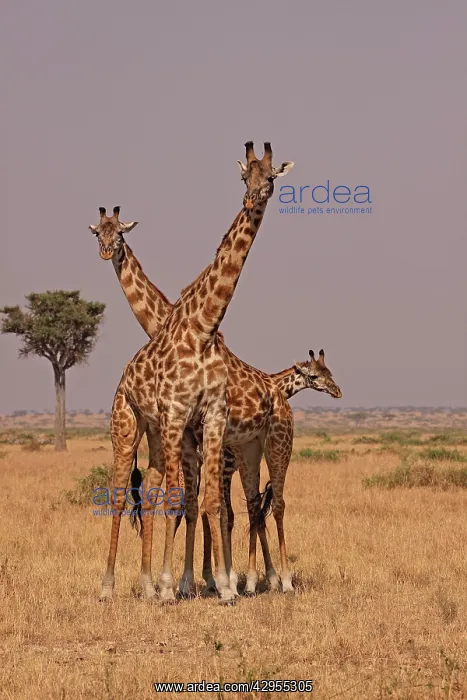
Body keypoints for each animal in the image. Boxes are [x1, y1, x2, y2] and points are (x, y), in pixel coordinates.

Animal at [95, 142, 294, 604]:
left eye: (271, 177)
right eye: (243, 176)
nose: (253, 199)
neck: (201, 329)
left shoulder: (211, 421)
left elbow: (208, 505)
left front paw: (221, 584)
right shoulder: (176, 420)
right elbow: (181, 502)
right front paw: (177, 585)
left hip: (264, 444)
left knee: (265, 503)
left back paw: (277, 579)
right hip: (129, 424)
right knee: (122, 495)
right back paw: (110, 587)